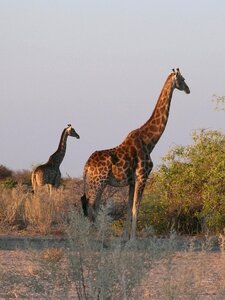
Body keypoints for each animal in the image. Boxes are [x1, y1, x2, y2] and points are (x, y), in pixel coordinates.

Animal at [81, 68, 190, 239]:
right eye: (183, 79)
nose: (188, 89)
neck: (149, 141)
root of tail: (86, 166)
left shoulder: (132, 180)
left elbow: (128, 207)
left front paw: (125, 238)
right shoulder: (142, 176)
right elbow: (136, 207)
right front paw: (133, 239)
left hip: (98, 183)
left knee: (93, 206)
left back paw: (96, 235)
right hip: (97, 182)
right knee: (91, 206)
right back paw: (92, 236)